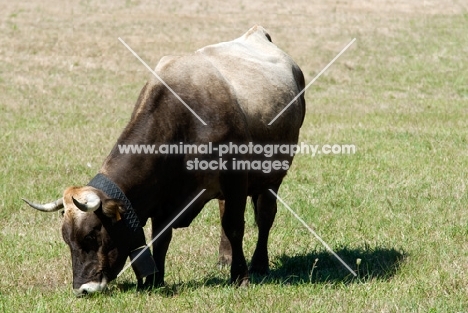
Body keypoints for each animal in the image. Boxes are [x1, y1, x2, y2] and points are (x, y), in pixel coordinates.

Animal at [23, 25, 306, 294]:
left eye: (93, 236)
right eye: (67, 240)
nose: (82, 288)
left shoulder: (234, 177)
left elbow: (235, 226)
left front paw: (240, 276)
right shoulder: (164, 196)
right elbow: (161, 237)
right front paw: (155, 280)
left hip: (271, 176)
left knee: (265, 216)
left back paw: (259, 263)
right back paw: (224, 258)